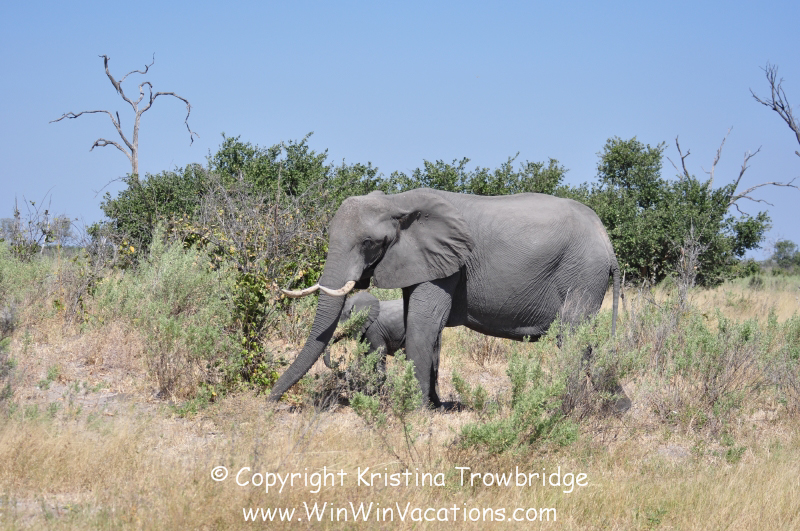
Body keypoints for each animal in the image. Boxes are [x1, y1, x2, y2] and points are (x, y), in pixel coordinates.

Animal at [271, 188, 620, 407]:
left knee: (572, 339)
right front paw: (436, 406)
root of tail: (607, 241)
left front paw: (414, 409)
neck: (397, 201)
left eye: (369, 243)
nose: (271, 401)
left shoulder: (448, 263)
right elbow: (423, 326)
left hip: (582, 273)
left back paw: (564, 409)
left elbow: (423, 324)